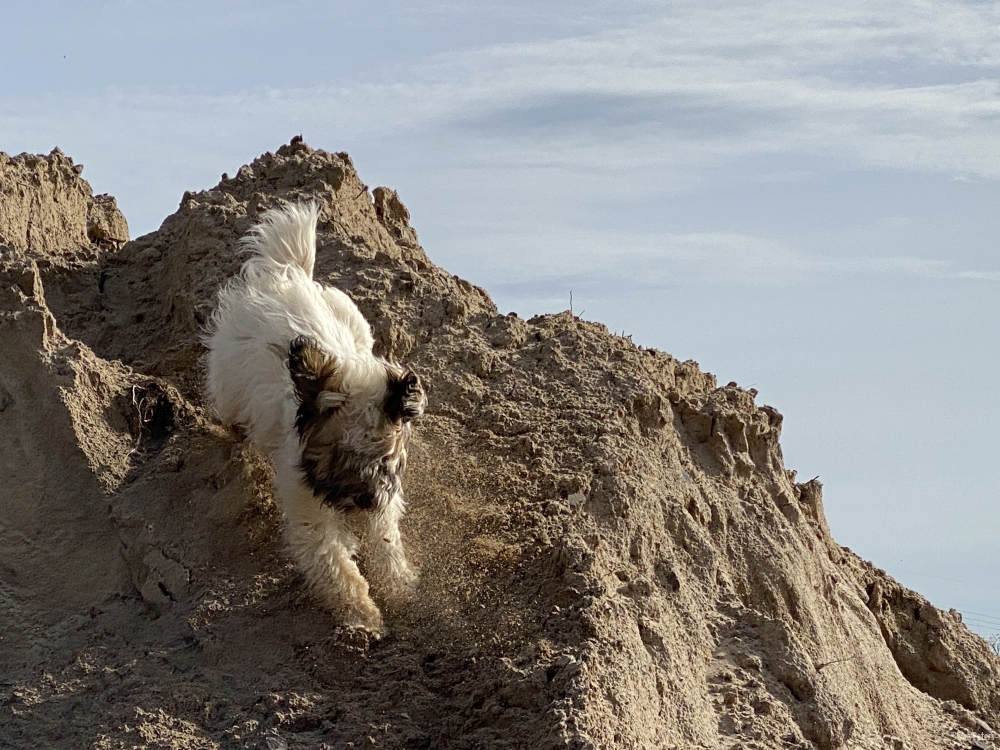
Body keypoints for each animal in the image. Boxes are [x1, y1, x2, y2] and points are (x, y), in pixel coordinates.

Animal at [205, 203, 426, 631]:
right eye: (336, 456)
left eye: (384, 460)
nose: (363, 502)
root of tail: (287, 273)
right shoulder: (309, 507)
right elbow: (335, 564)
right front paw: (363, 616)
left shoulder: (384, 501)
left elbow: (387, 545)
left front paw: (401, 587)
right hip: (229, 383)